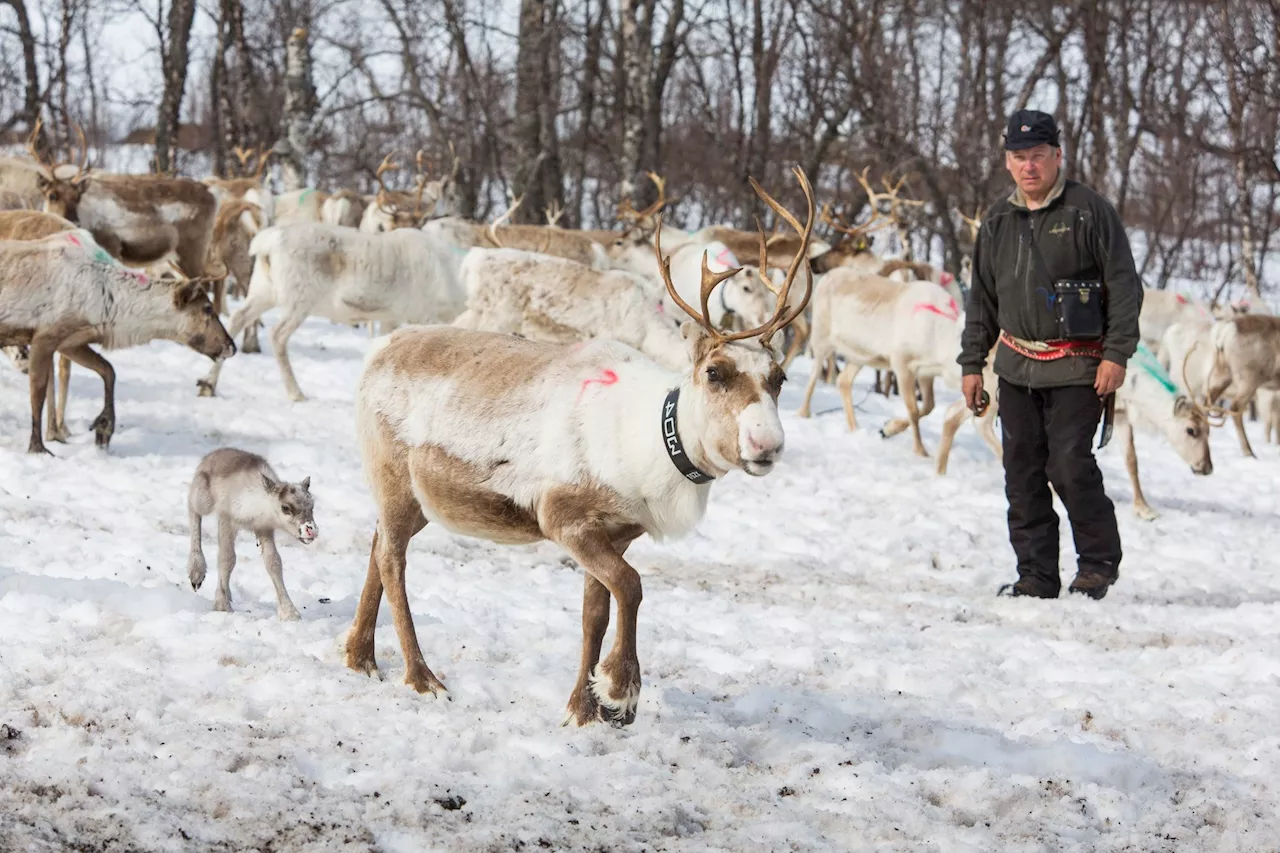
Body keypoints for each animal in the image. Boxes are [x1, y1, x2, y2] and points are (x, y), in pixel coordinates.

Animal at [186, 445, 318, 617]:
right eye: (285, 508)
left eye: (312, 506)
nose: (311, 531)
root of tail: (209, 456)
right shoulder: (226, 519)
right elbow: (226, 558)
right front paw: (222, 606)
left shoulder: (264, 528)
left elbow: (274, 562)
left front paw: (290, 613)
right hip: (203, 498)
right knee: (192, 507)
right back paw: (196, 572)